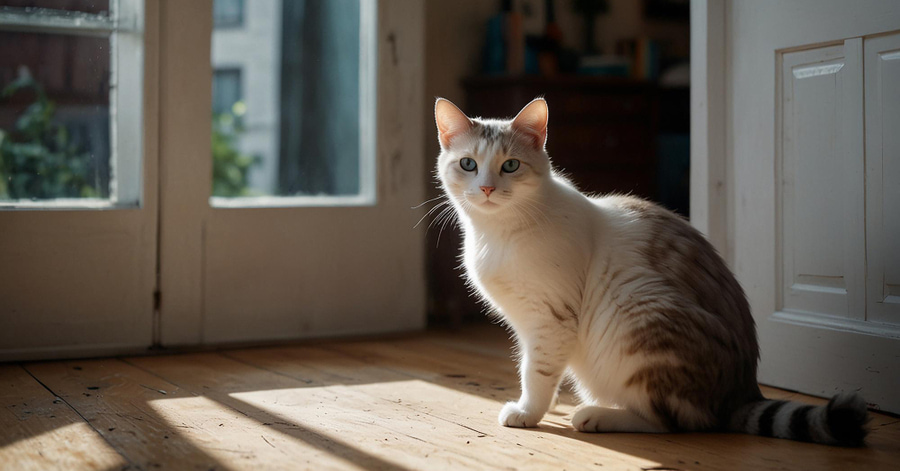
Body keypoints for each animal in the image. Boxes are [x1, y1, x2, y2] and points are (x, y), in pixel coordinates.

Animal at [432, 97, 868, 446]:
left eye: (510, 166)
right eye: (468, 164)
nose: (487, 188)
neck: (497, 234)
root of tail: (743, 392)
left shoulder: (550, 320)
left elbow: (535, 373)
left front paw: (527, 412)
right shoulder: (529, 326)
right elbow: (533, 368)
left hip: (638, 315)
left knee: (675, 421)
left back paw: (598, 415)